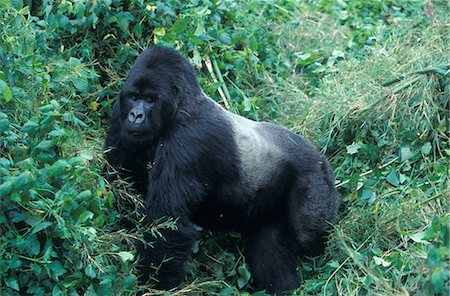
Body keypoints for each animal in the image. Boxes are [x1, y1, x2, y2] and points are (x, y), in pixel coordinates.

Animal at [104, 45, 338, 294]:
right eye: (134, 97)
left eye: (149, 100)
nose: (136, 115)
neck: (182, 105)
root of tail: (320, 156)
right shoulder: (119, 113)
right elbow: (121, 183)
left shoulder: (188, 140)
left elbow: (167, 222)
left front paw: (153, 285)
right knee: (270, 245)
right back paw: (285, 286)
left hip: (315, 175)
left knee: (308, 236)